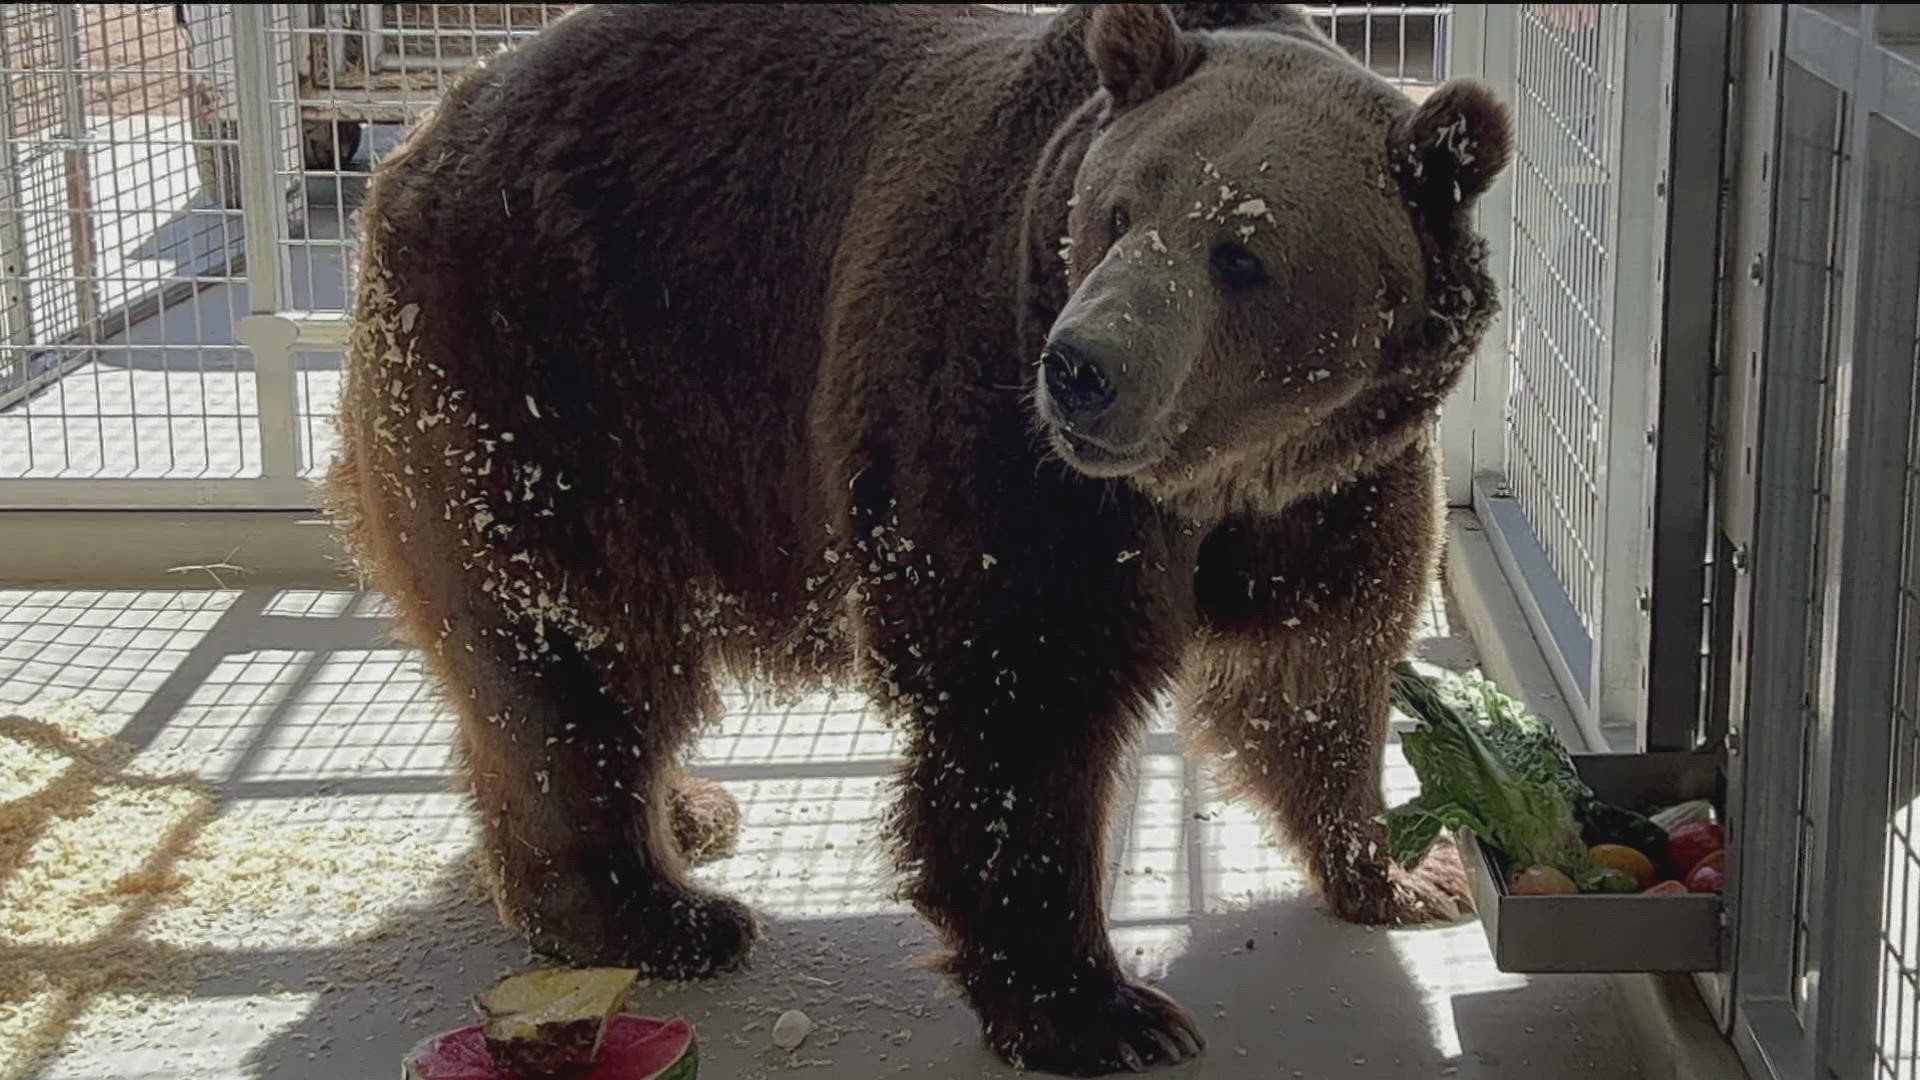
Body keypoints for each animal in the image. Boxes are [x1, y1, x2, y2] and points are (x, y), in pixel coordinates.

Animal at [322, 4, 1505, 1068]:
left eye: (1242, 252)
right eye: (1116, 212)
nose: (1083, 368)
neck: (1215, 481)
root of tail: (432, 126)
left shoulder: (1336, 486)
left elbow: (1317, 674)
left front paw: (1411, 870)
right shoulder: (1002, 431)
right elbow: (1021, 703)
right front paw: (1101, 1010)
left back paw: (687, 815)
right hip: (561, 379)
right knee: (579, 647)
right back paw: (661, 909)